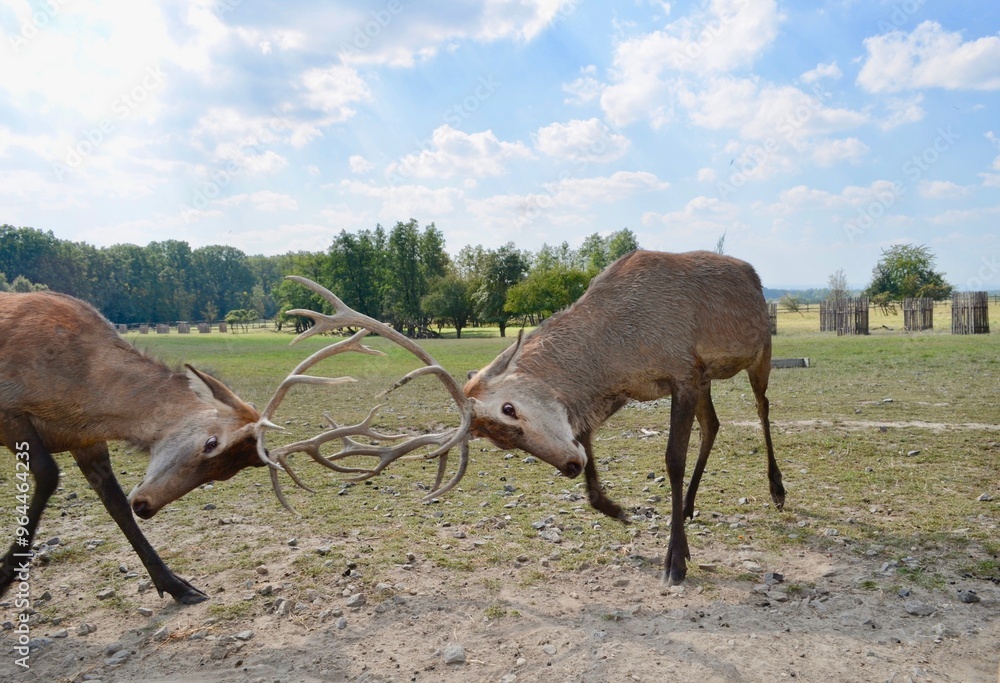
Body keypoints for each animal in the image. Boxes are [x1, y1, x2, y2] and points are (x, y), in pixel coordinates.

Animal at [462, 250, 786, 584]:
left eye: (508, 409)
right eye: (500, 442)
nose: (569, 467)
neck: (616, 352)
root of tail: (754, 275)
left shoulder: (683, 373)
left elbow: (673, 459)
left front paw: (675, 560)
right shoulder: (628, 389)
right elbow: (586, 439)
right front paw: (615, 509)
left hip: (761, 352)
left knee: (762, 406)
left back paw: (777, 489)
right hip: (706, 379)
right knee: (712, 424)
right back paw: (686, 506)